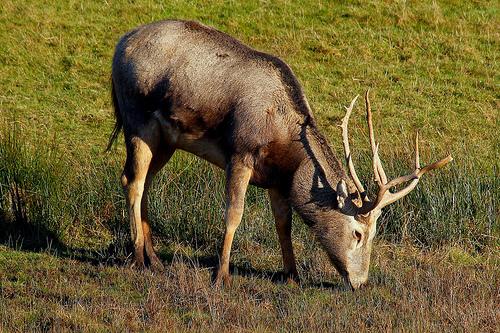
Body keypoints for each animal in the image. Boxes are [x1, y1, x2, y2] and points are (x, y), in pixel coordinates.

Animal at [106, 20, 454, 288]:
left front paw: (292, 275)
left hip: (166, 140)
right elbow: (234, 214)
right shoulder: (240, 153)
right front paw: (221, 275)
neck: (287, 147)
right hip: (137, 121)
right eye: (357, 233)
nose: (361, 282)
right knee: (132, 181)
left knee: (144, 182)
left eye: (375, 233)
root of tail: (120, 45)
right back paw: (138, 257)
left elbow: (283, 223)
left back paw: (154, 258)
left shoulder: (276, 177)